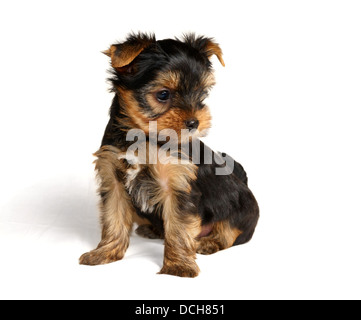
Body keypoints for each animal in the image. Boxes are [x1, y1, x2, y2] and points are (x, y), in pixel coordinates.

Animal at [79, 33, 258, 278]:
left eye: (202, 94)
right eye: (163, 94)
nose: (194, 122)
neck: (144, 138)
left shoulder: (178, 185)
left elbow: (179, 228)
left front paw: (178, 266)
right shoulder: (113, 179)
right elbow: (113, 218)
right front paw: (105, 253)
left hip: (240, 209)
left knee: (231, 231)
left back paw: (209, 242)